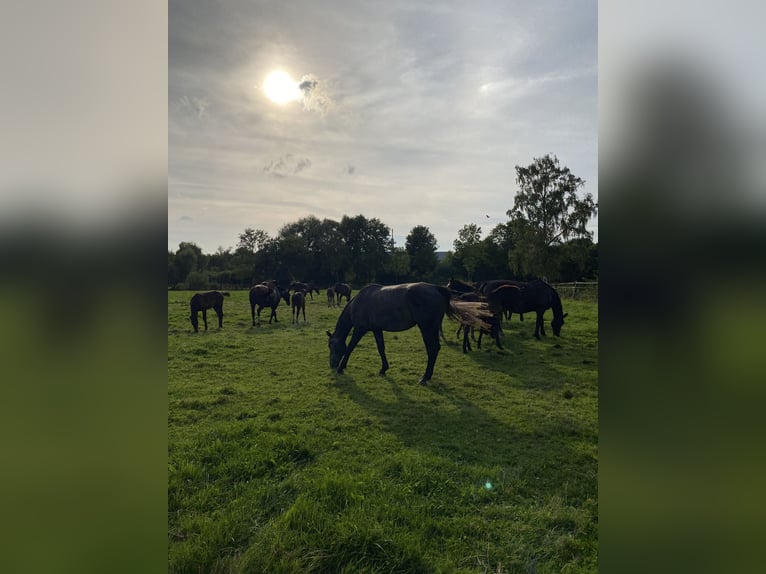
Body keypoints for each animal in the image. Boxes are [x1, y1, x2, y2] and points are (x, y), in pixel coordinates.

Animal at [326, 284, 492, 388]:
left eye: (331, 345)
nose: (332, 364)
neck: (359, 301)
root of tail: (437, 289)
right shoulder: (377, 330)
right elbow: (381, 348)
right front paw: (383, 369)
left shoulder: (360, 329)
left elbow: (350, 347)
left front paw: (341, 368)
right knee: (435, 348)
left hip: (427, 328)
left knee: (432, 349)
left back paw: (425, 378)